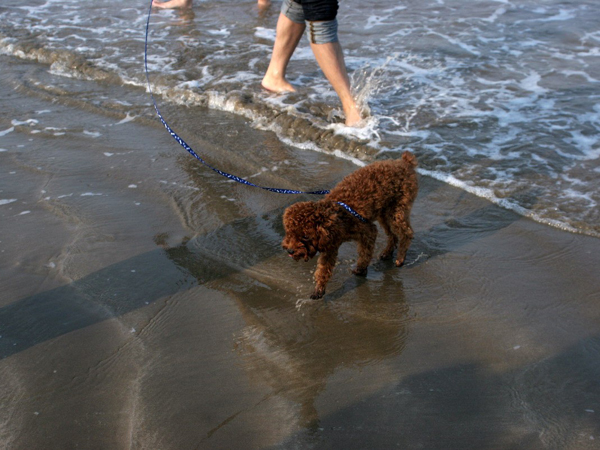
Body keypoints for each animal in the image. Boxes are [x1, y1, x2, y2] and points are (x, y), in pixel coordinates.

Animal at [282, 151, 418, 299]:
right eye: (289, 233)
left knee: (406, 233)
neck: (338, 217)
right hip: (384, 212)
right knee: (392, 234)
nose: (290, 251)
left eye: (306, 236)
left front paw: (361, 269)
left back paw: (400, 258)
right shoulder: (330, 246)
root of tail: (404, 162)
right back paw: (387, 252)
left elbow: (365, 253)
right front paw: (319, 289)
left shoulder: (367, 231)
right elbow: (323, 269)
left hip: (397, 210)